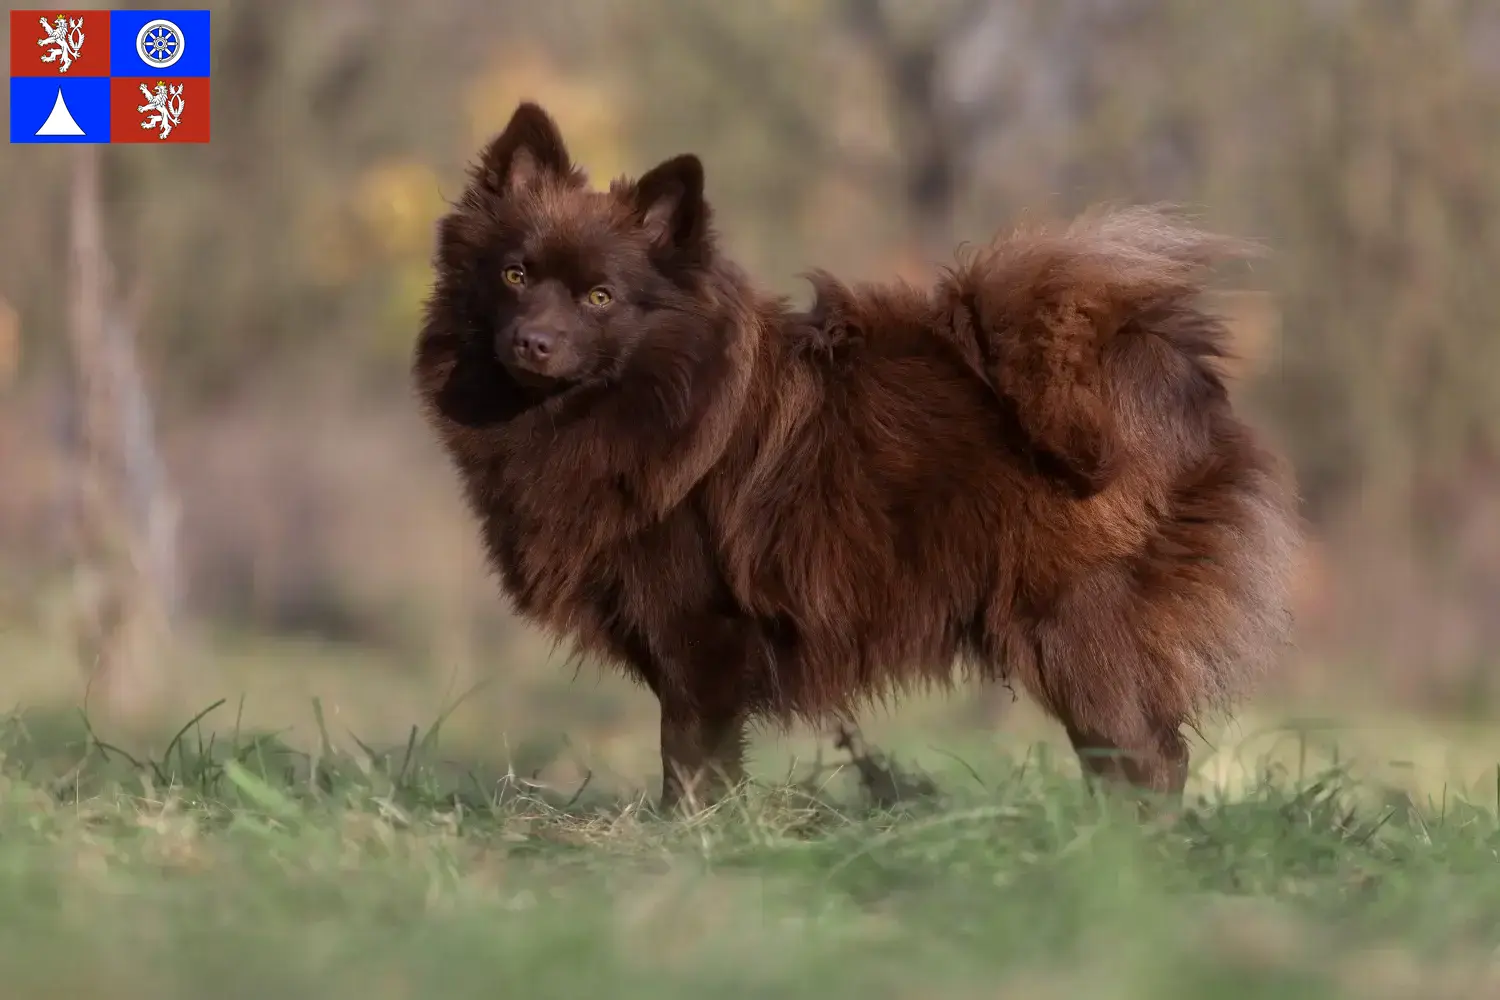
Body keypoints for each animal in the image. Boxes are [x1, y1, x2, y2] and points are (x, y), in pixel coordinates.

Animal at [414, 101, 1302, 809]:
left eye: (600, 298)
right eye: (514, 275)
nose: (534, 341)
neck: (637, 402)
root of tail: (1162, 369)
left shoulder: (700, 636)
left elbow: (691, 759)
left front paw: (688, 841)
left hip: (1076, 625)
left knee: (1146, 758)